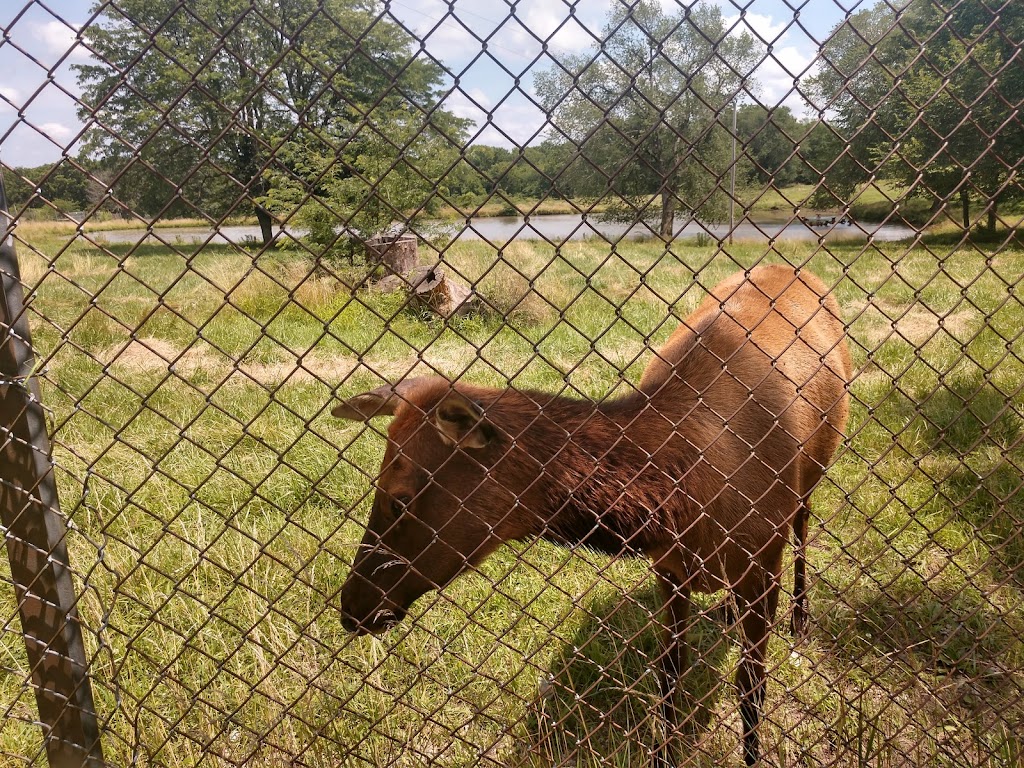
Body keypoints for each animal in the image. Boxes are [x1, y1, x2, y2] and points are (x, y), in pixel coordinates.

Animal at [333, 264, 847, 765]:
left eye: (398, 499)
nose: (352, 607)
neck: (683, 504)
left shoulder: (760, 563)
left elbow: (751, 691)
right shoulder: (669, 569)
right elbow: (668, 676)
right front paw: (664, 751)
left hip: (811, 479)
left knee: (804, 528)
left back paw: (801, 618)